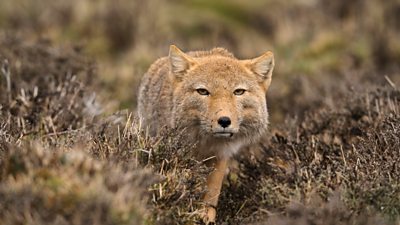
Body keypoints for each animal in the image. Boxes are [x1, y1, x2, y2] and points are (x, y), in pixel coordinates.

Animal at [136, 45, 274, 223]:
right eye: (202, 91)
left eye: (239, 92)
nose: (224, 121)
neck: (206, 143)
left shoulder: (221, 156)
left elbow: (211, 194)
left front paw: (206, 217)